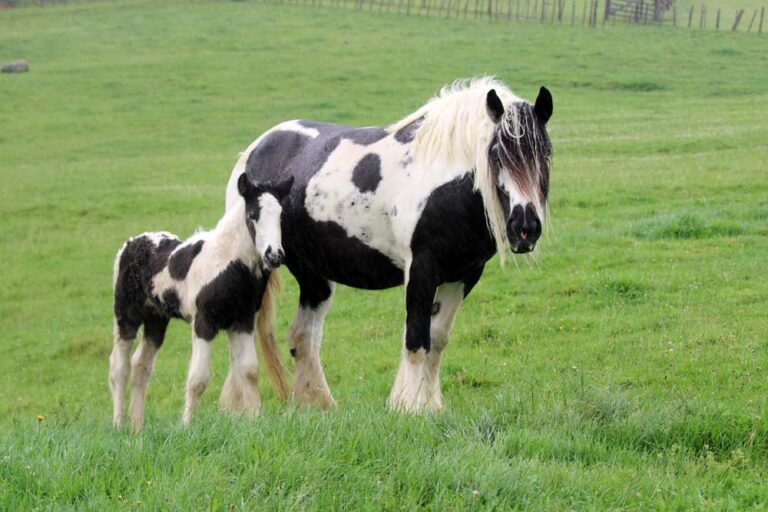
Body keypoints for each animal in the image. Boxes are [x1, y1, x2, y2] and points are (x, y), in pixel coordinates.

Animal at [111, 174, 294, 430]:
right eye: (252, 215)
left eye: (280, 215)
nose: (274, 255)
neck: (228, 262)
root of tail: (130, 244)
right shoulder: (204, 322)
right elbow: (198, 378)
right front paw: (187, 425)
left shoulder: (243, 320)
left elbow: (249, 371)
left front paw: (255, 420)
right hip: (126, 315)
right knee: (119, 367)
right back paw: (118, 424)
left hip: (156, 319)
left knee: (141, 366)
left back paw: (137, 427)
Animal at [224, 77, 552, 412]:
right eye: (497, 155)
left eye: (547, 153)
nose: (525, 228)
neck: (443, 179)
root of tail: (256, 149)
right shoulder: (421, 269)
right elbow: (417, 341)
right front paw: (409, 408)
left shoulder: (464, 274)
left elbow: (437, 340)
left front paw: (432, 407)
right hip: (257, 267)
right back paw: (240, 410)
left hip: (313, 276)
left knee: (302, 337)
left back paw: (319, 406)